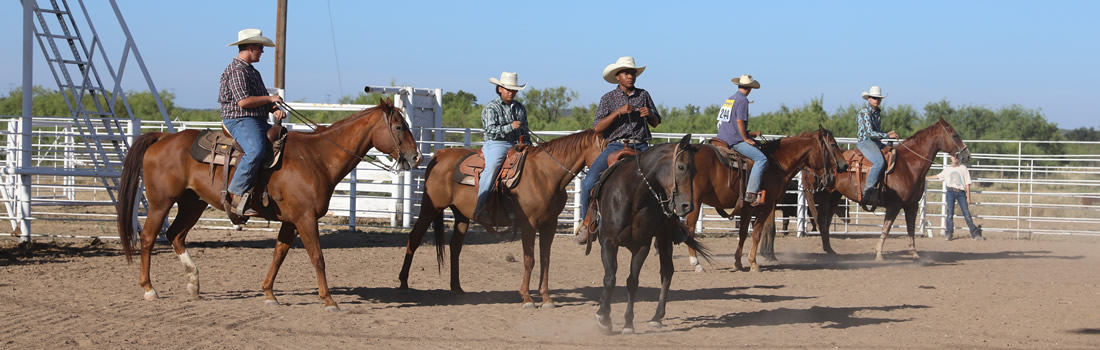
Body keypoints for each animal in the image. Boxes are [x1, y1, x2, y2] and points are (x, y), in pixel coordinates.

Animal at [113, 99, 418, 312]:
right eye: (399, 126)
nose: (416, 157)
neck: (317, 157)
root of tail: (163, 137)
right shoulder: (306, 218)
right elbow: (317, 257)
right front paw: (329, 300)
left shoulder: (291, 220)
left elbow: (278, 254)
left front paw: (269, 294)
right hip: (161, 202)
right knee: (148, 237)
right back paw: (149, 289)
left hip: (192, 204)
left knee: (175, 235)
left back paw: (193, 283)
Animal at [398, 127, 607, 308]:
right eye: (606, 149)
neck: (545, 174)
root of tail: (439, 155)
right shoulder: (529, 224)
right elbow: (529, 259)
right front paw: (527, 298)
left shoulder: (550, 224)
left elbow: (545, 260)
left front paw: (546, 298)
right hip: (430, 207)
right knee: (414, 237)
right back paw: (403, 283)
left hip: (461, 215)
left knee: (455, 246)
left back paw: (457, 288)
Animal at [589, 133, 708, 334]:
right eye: (681, 167)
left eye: (695, 171)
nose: (687, 206)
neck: (633, 195)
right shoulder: (608, 242)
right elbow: (610, 278)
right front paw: (604, 318)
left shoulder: (642, 245)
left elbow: (632, 282)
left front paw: (628, 323)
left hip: (664, 236)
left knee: (667, 272)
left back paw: (656, 318)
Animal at [682, 127, 844, 271]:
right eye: (833, 144)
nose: (843, 166)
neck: (776, 163)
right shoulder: (767, 204)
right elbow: (759, 232)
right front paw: (755, 262)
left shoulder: (748, 207)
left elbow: (743, 233)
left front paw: (738, 263)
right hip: (694, 203)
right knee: (689, 229)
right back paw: (696, 263)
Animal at [809, 117, 972, 259]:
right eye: (954, 135)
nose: (967, 155)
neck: (908, 165)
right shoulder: (894, 205)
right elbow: (886, 228)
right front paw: (879, 254)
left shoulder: (912, 205)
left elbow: (910, 228)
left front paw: (914, 253)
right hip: (825, 197)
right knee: (822, 220)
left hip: (835, 196)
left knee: (827, 221)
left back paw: (829, 250)